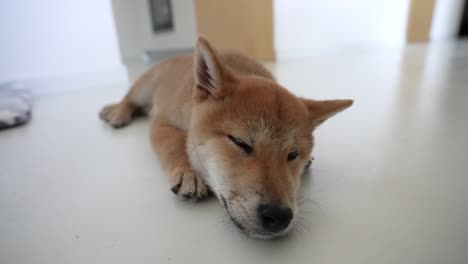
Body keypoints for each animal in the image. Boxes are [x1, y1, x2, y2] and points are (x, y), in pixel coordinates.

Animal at [100, 36, 352, 237]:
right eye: (240, 143)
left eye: (293, 154)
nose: (279, 215)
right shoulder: (163, 123)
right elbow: (174, 145)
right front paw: (188, 172)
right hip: (145, 87)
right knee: (129, 99)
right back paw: (117, 112)